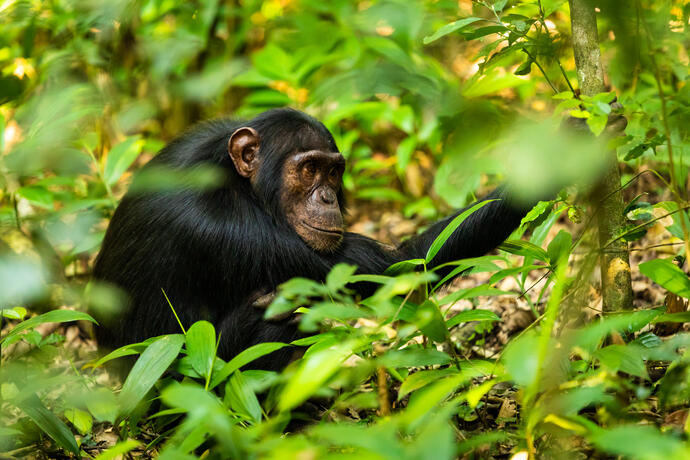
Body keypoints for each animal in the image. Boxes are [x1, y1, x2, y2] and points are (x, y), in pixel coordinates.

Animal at [91, 107, 528, 366]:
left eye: (333, 171)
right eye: (308, 169)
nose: (327, 196)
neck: (239, 182)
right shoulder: (231, 231)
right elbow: (399, 266)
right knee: (280, 314)